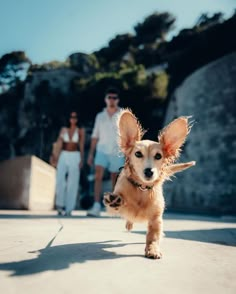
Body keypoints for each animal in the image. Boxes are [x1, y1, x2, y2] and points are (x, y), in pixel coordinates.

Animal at [103, 109, 195, 260]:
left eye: (158, 156)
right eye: (138, 154)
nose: (149, 171)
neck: (142, 188)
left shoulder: (156, 220)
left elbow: (153, 237)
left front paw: (153, 249)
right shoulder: (113, 208)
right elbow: (116, 203)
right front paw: (115, 200)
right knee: (128, 219)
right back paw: (127, 222)